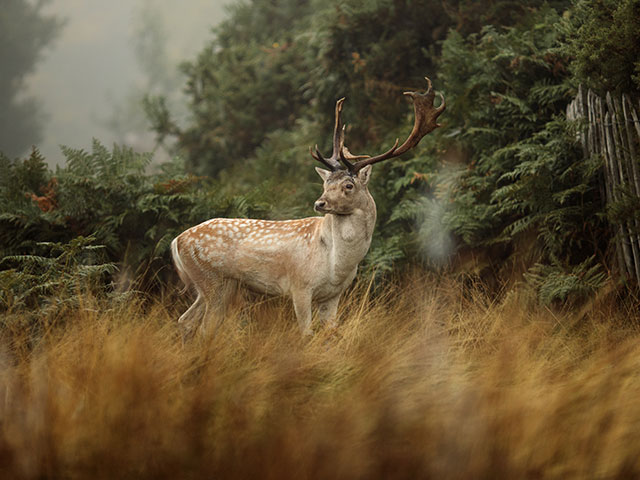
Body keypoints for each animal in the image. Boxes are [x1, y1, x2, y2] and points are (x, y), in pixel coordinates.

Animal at [172, 76, 448, 338]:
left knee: (186, 321)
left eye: (348, 185)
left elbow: (330, 333)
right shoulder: (300, 286)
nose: (319, 202)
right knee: (205, 328)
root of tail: (177, 242)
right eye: (326, 182)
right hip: (212, 280)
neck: (337, 265)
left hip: (220, 286)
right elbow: (306, 333)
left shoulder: (334, 296)